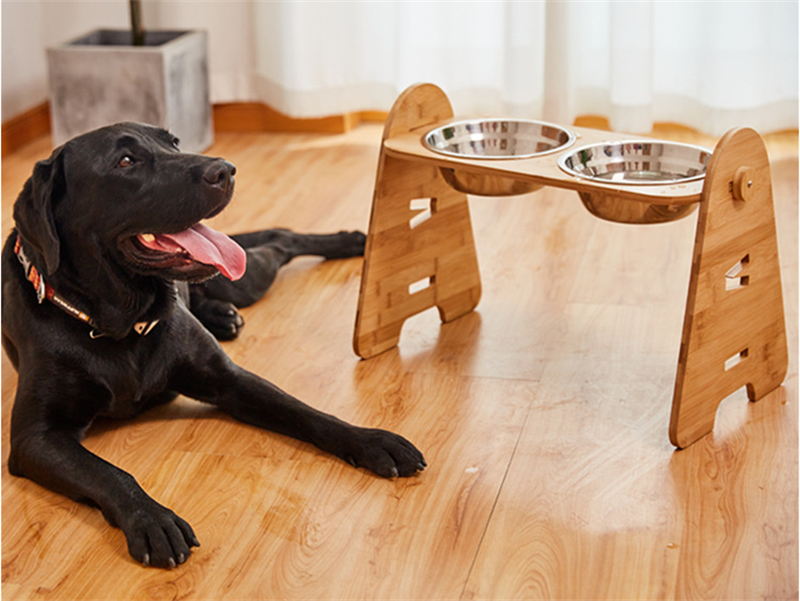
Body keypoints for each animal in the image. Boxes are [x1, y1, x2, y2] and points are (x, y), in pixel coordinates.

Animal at [1, 123, 424, 568]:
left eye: (173, 142)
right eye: (126, 161)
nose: (224, 170)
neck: (120, 323)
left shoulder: (230, 380)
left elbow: (306, 412)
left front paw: (372, 440)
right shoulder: (36, 437)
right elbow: (107, 472)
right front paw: (152, 519)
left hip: (243, 278)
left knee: (281, 239)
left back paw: (346, 242)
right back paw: (222, 314)